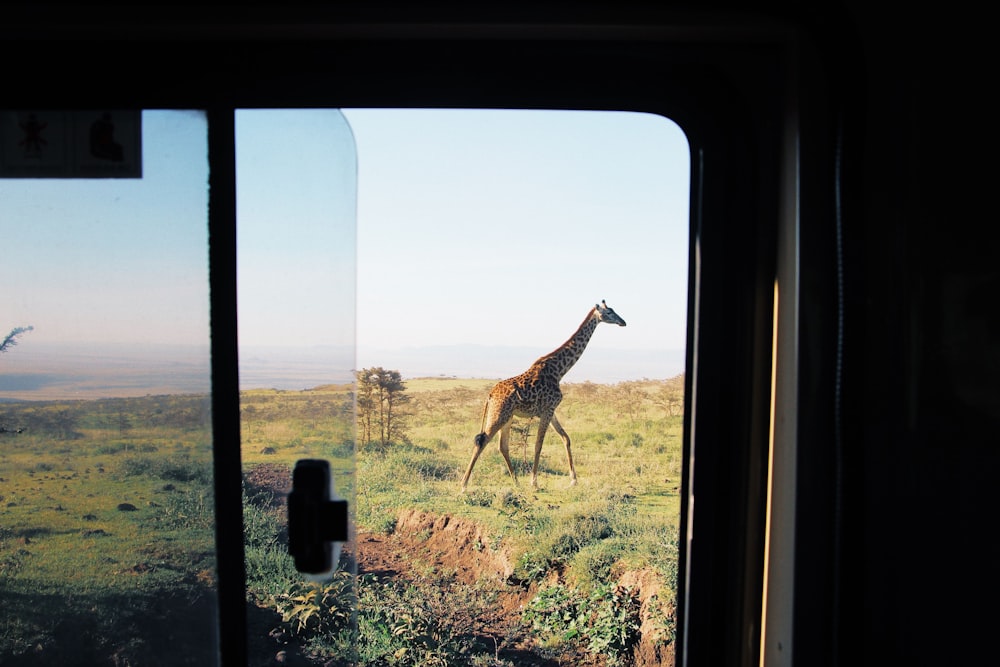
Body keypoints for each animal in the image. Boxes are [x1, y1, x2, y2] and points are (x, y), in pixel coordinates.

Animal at [460, 300, 624, 494]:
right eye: (610, 312)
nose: (623, 322)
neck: (559, 370)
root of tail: (490, 395)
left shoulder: (550, 410)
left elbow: (565, 438)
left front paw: (574, 480)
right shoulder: (547, 410)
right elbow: (539, 444)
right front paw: (534, 482)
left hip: (507, 417)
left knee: (502, 446)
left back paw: (516, 482)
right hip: (499, 415)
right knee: (482, 441)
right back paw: (464, 485)